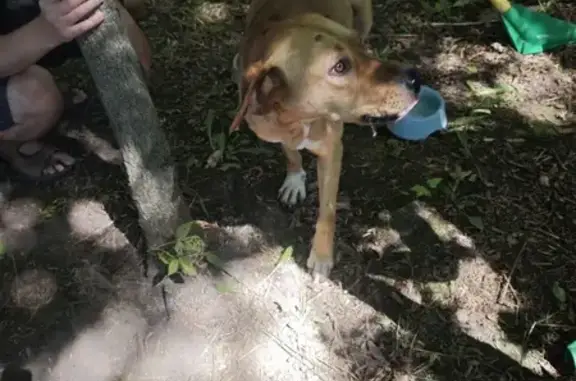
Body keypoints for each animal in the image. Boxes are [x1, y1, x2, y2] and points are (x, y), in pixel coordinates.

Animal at [230, 0, 424, 276]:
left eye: (358, 45)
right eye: (340, 67)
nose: (415, 78)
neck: (298, 119)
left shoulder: (332, 151)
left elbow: (328, 211)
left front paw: (321, 256)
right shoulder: (276, 131)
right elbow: (290, 151)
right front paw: (295, 178)